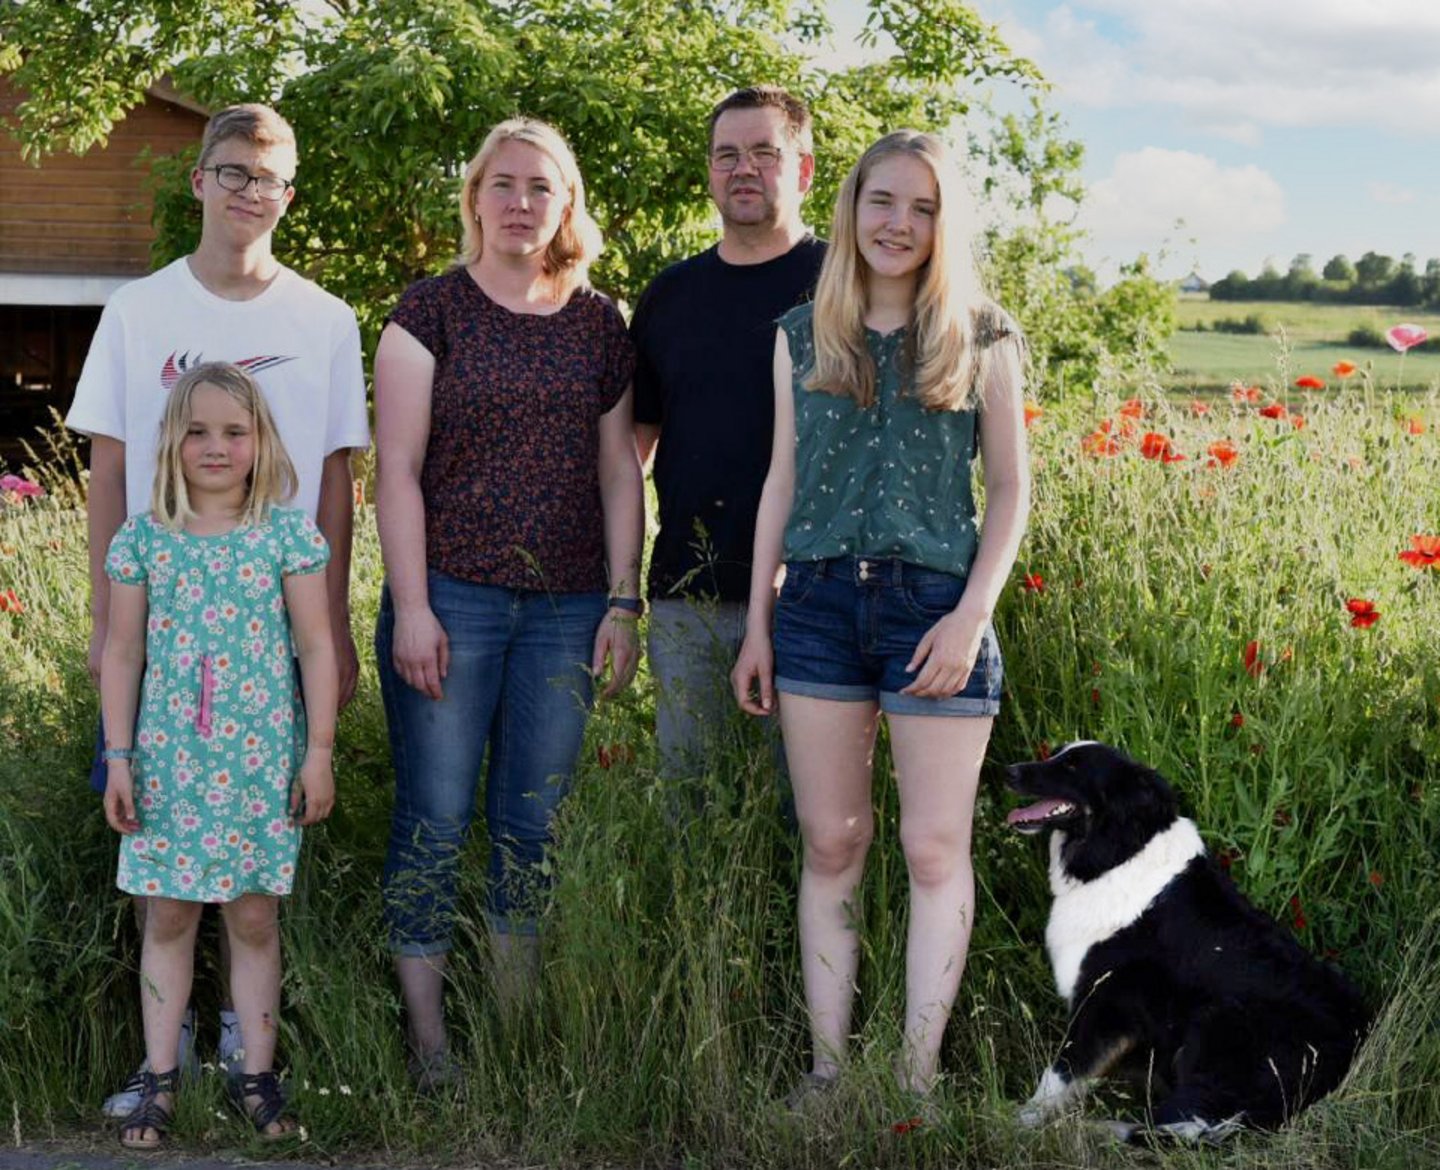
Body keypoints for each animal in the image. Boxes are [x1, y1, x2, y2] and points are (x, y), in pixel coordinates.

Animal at [1008, 743, 1365, 1135]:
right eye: (1055, 754)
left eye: (1072, 766)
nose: (1009, 771)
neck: (1120, 852)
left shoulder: (1103, 1004)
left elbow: (1059, 1073)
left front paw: (1016, 1124)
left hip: (1213, 1021)